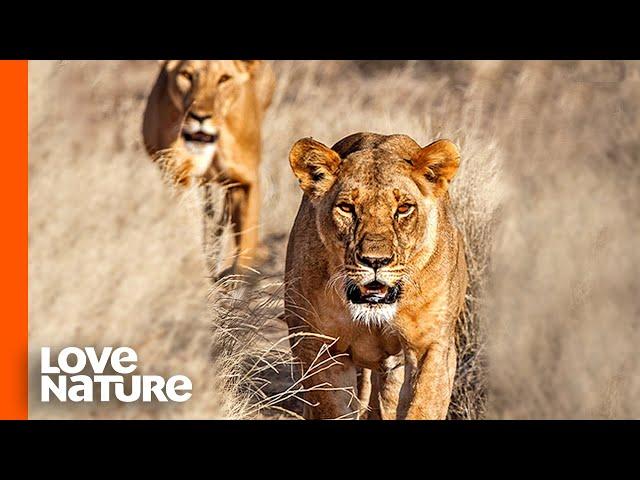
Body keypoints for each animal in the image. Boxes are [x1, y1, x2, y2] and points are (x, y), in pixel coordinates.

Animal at [142, 61, 276, 278]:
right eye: (186, 75)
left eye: (224, 78)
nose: (200, 117)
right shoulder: (178, 177)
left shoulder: (244, 180)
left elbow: (246, 242)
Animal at [284, 132, 464, 420]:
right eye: (347, 207)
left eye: (404, 208)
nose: (375, 261)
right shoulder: (318, 346)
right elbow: (330, 408)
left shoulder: (431, 345)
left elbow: (423, 406)